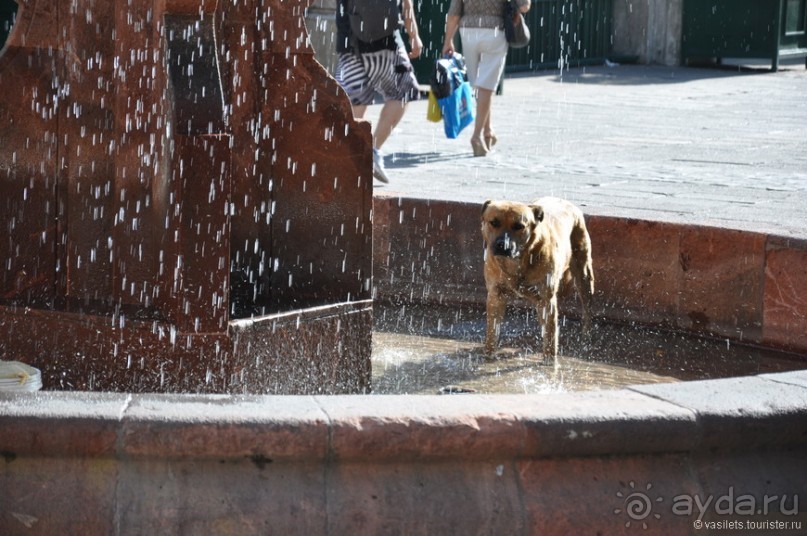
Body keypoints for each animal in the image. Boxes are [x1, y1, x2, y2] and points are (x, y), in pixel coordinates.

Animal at [480, 198, 592, 364]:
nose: (502, 245)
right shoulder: (495, 295)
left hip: (583, 274)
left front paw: (550, 362)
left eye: (518, 226)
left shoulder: (547, 299)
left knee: (586, 310)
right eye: (494, 222)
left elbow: (551, 336)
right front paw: (488, 354)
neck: (517, 263)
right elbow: (492, 331)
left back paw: (586, 335)